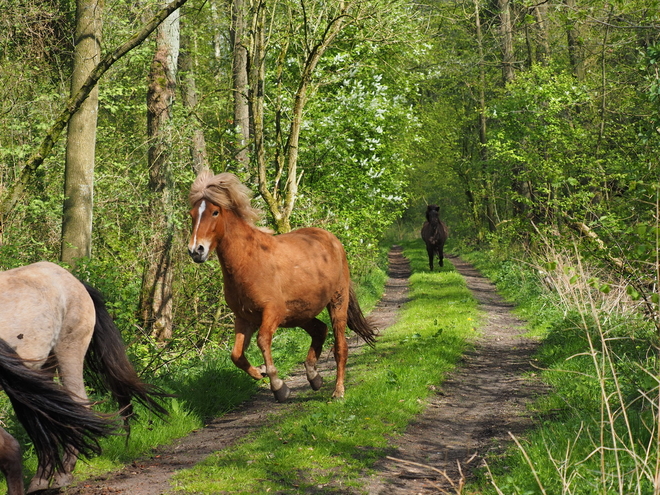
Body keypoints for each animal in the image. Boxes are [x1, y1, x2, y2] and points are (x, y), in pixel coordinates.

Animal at [0, 262, 169, 494]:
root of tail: (73, 280)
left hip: (68, 353)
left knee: (77, 406)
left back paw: (62, 475)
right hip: (41, 370)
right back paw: (41, 480)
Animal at [188, 170, 378, 404]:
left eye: (215, 212)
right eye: (192, 214)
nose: (196, 250)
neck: (249, 261)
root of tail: (332, 239)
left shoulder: (273, 312)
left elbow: (262, 340)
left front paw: (278, 386)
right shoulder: (244, 318)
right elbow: (236, 355)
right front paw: (260, 372)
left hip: (336, 302)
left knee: (340, 346)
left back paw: (338, 391)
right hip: (299, 313)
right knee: (320, 330)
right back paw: (314, 376)